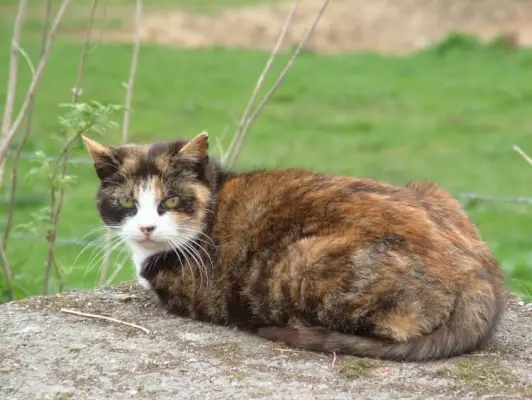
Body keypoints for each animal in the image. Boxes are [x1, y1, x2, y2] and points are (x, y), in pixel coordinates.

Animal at [84, 132, 508, 362]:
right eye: (127, 202)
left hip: (303, 262)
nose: (147, 227)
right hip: (431, 189)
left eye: (170, 201)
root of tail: (476, 275)